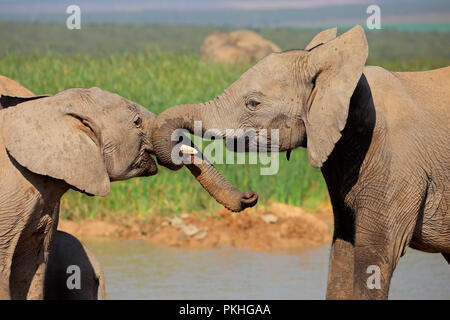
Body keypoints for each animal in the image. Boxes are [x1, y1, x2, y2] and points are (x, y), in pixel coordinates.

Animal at [152, 25, 450, 300]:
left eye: (253, 103)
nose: (250, 196)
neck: (341, 76)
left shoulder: (399, 164)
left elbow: (375, 257)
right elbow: (343, 247)